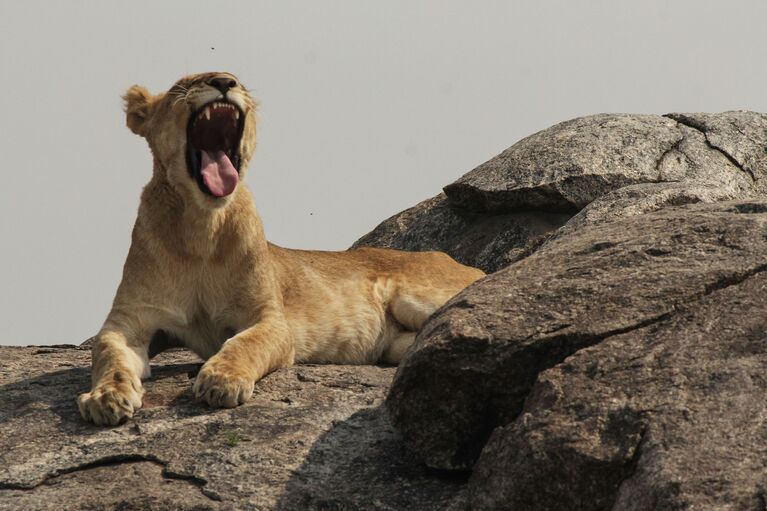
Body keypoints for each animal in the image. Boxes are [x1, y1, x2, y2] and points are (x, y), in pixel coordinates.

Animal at [79, 71, 486, 424]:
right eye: (183, 85)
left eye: (238, 81)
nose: (225, 82)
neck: (201, 227)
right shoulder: (130, 319)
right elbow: (108, 354)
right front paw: (106, 397)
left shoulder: (270, 317)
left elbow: (246, 344)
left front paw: (222, 380)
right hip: (397, 344)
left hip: (417, 296)